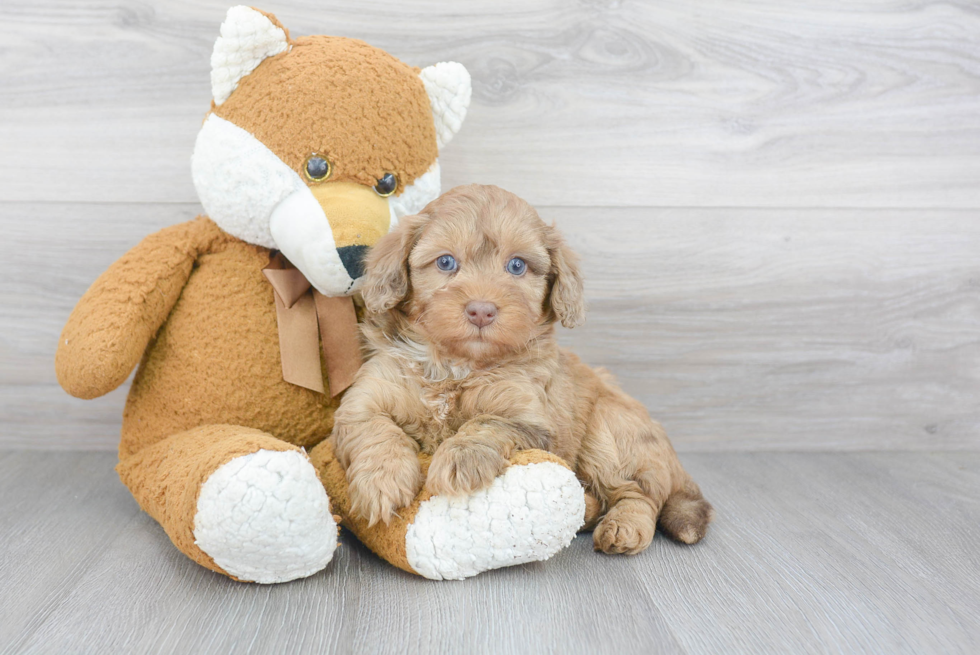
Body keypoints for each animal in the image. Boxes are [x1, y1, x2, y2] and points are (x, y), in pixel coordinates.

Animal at [332, 184, 712, 552]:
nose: (481, 310)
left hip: (610, 431)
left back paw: (624, 527)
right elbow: (377, 429)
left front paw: (460, 457)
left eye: (516, 266)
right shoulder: (364, 399)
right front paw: (383, 480)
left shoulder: (529, 418)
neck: (455, 365)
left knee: (640, 493)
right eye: (446, 262)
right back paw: (587, 512)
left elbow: (486, 422)